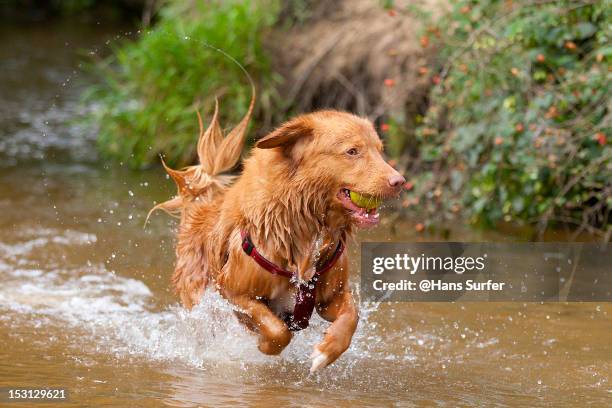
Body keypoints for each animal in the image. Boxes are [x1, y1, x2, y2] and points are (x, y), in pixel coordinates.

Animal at [151, 94, 404, 372]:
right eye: (352, 151)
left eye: (379, 150)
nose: (399, 181)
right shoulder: (233, 291)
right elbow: (277, 330)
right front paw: (265, 345)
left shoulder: (331, 297)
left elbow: (352, 316)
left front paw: (327, 352)